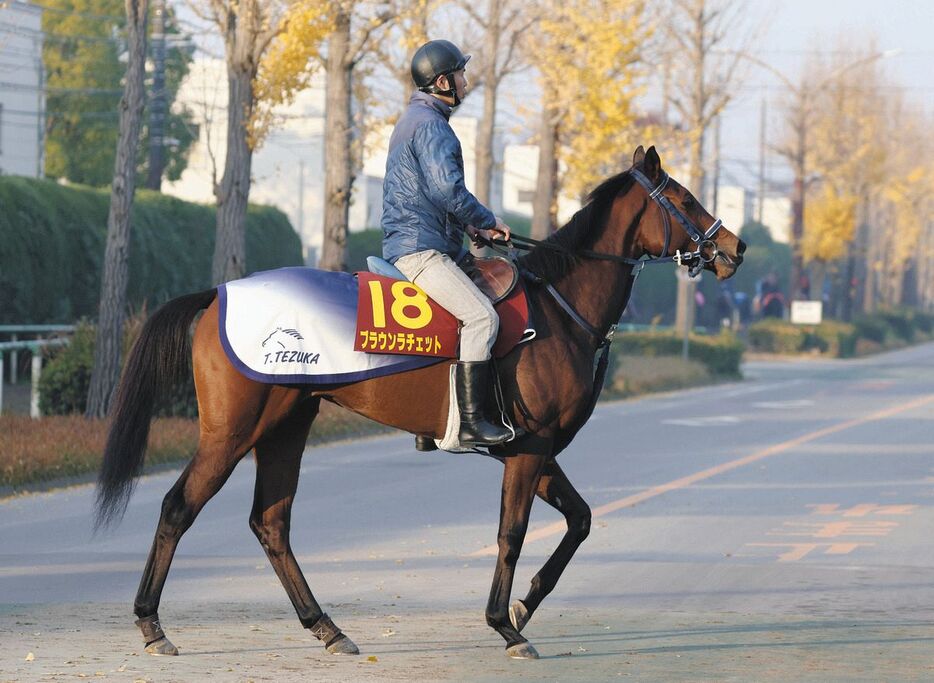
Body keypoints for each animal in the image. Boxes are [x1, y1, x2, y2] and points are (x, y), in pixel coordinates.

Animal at [97, 146, 744, 664]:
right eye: (684, 197)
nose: (735, 247)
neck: (558, 308)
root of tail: (218, 294)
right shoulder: (527, 451)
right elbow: (512, 532)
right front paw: (505, 625)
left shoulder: (535, 451)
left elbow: (580, 520)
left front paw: (525, 605)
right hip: (232, 432)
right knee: (179, 507)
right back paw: (152, 624)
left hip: (286, 426)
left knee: (271, 523)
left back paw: (326, 627)